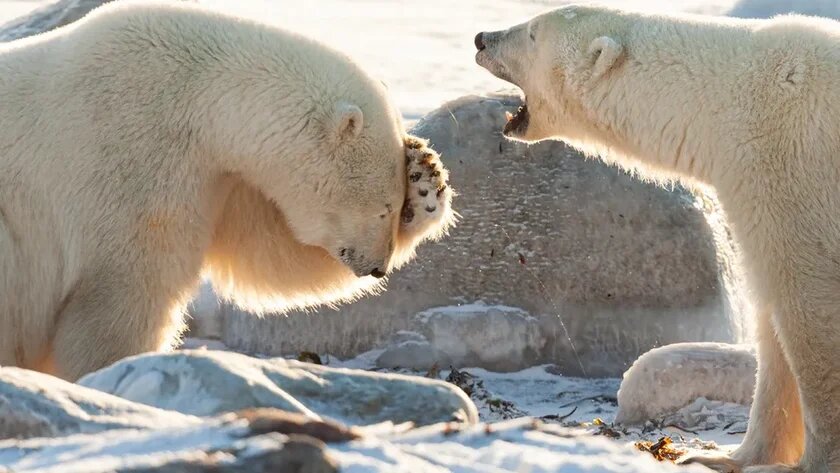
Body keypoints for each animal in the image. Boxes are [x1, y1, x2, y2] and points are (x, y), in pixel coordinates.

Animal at [0, 0, 452, 380]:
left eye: (396, 206)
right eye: (382, 207)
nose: (378, 267)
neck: (196, 97)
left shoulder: (220, 177)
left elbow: (270, 251)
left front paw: (425, 178)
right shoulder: (131, 156)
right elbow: (125, 289)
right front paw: (116, 370)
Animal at [480, 6, 840, 472]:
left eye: (531, 33)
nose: (481, 38)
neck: (723, 98)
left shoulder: (791, 168)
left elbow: (811, 310)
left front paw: (819, 460)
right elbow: (772, 322)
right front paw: (726, 457)